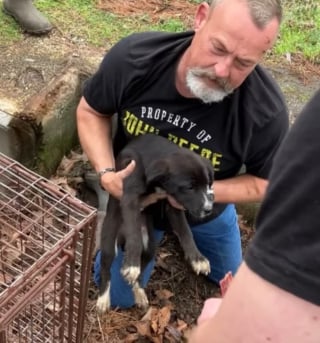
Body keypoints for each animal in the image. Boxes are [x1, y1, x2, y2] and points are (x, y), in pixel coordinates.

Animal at [96, 134, 214, 314]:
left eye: (207, 184)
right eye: (189, 187)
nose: (208, 209)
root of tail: (121, 238)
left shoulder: (173, 204)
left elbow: (186, 231)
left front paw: (198, 259)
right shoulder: (130, 199)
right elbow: (134, 234)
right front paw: (131, 264)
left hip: (150, 247)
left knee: (141, 270)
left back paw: (139, 293)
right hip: (109, 241)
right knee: (105, 270)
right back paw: (103, 299)